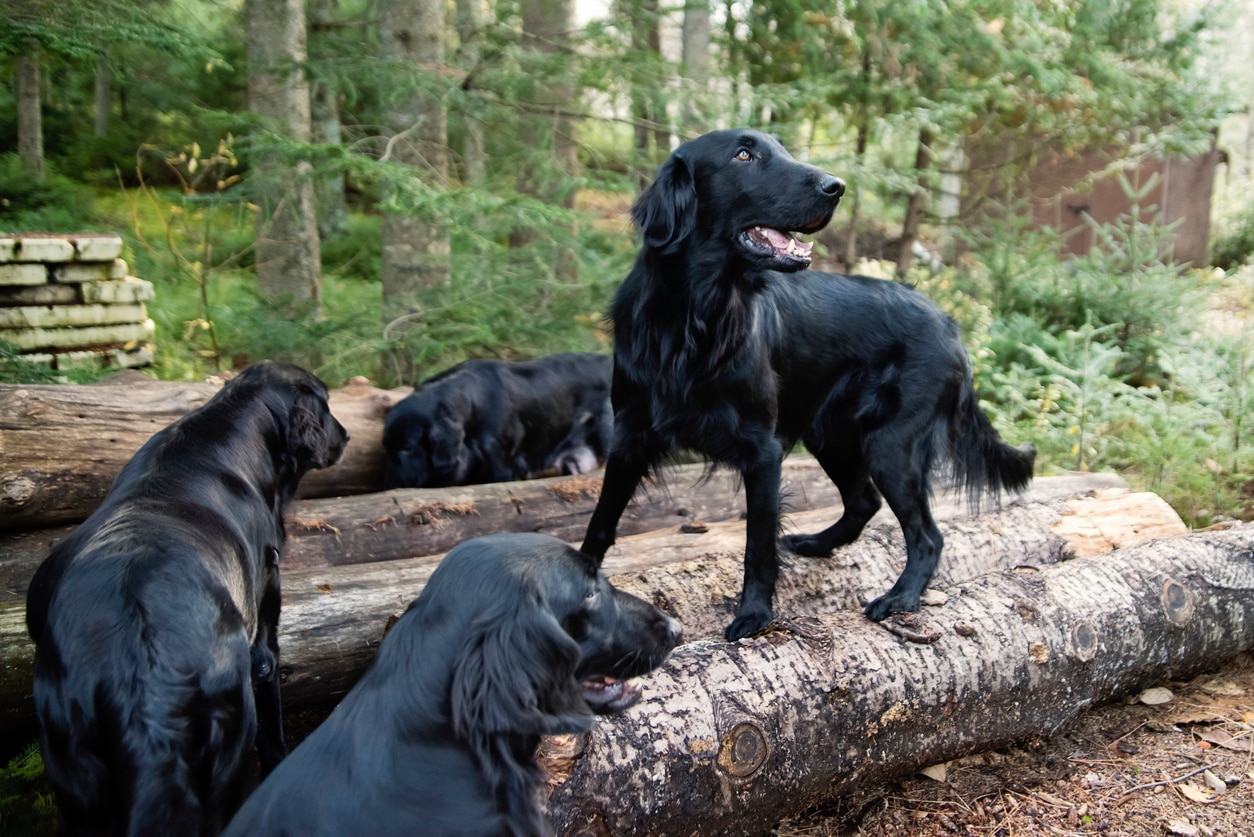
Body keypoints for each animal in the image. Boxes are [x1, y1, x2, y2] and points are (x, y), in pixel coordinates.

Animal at [24, 361, 348, 837]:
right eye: (326, 404)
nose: (346, 436)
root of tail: (141, 683)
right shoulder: (264, 644)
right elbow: (274, 736)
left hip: (75, 777)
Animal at [576, 129, 1028, 642]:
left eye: (783, 149)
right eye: (744, 154)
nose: (837, 186)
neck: (695, 318)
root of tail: (948, 323)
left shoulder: (762, 450)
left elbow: (757, 543)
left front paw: (754, 614)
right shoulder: (631, 435)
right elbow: (600, 522)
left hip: (891, 445)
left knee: (927, 535)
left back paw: (900, 598)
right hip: (834, 437)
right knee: (864, 502)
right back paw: (817, 543)